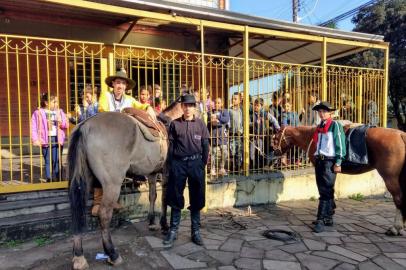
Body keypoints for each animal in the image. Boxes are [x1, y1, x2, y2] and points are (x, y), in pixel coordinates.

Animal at [68, 99, 182, 270]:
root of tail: (85, 126)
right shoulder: (166, 172)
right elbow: (163, 199)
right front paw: (163, 225)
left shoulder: (152, 173)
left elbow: (153, 196)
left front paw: (151, 222)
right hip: (112, 184)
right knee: (104, 214)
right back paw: (112, 254)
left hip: (84, 180)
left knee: (77, 209)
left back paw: (79, 256)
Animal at [272, 125, 406, 235]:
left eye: (276, 137)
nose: (274, 151)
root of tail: (401, 135)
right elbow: (331, 190)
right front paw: (329, 215)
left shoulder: (321, 170)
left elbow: (325, 191)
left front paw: (325, 217)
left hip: (390, 178)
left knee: (398, 199)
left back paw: (396, 228)